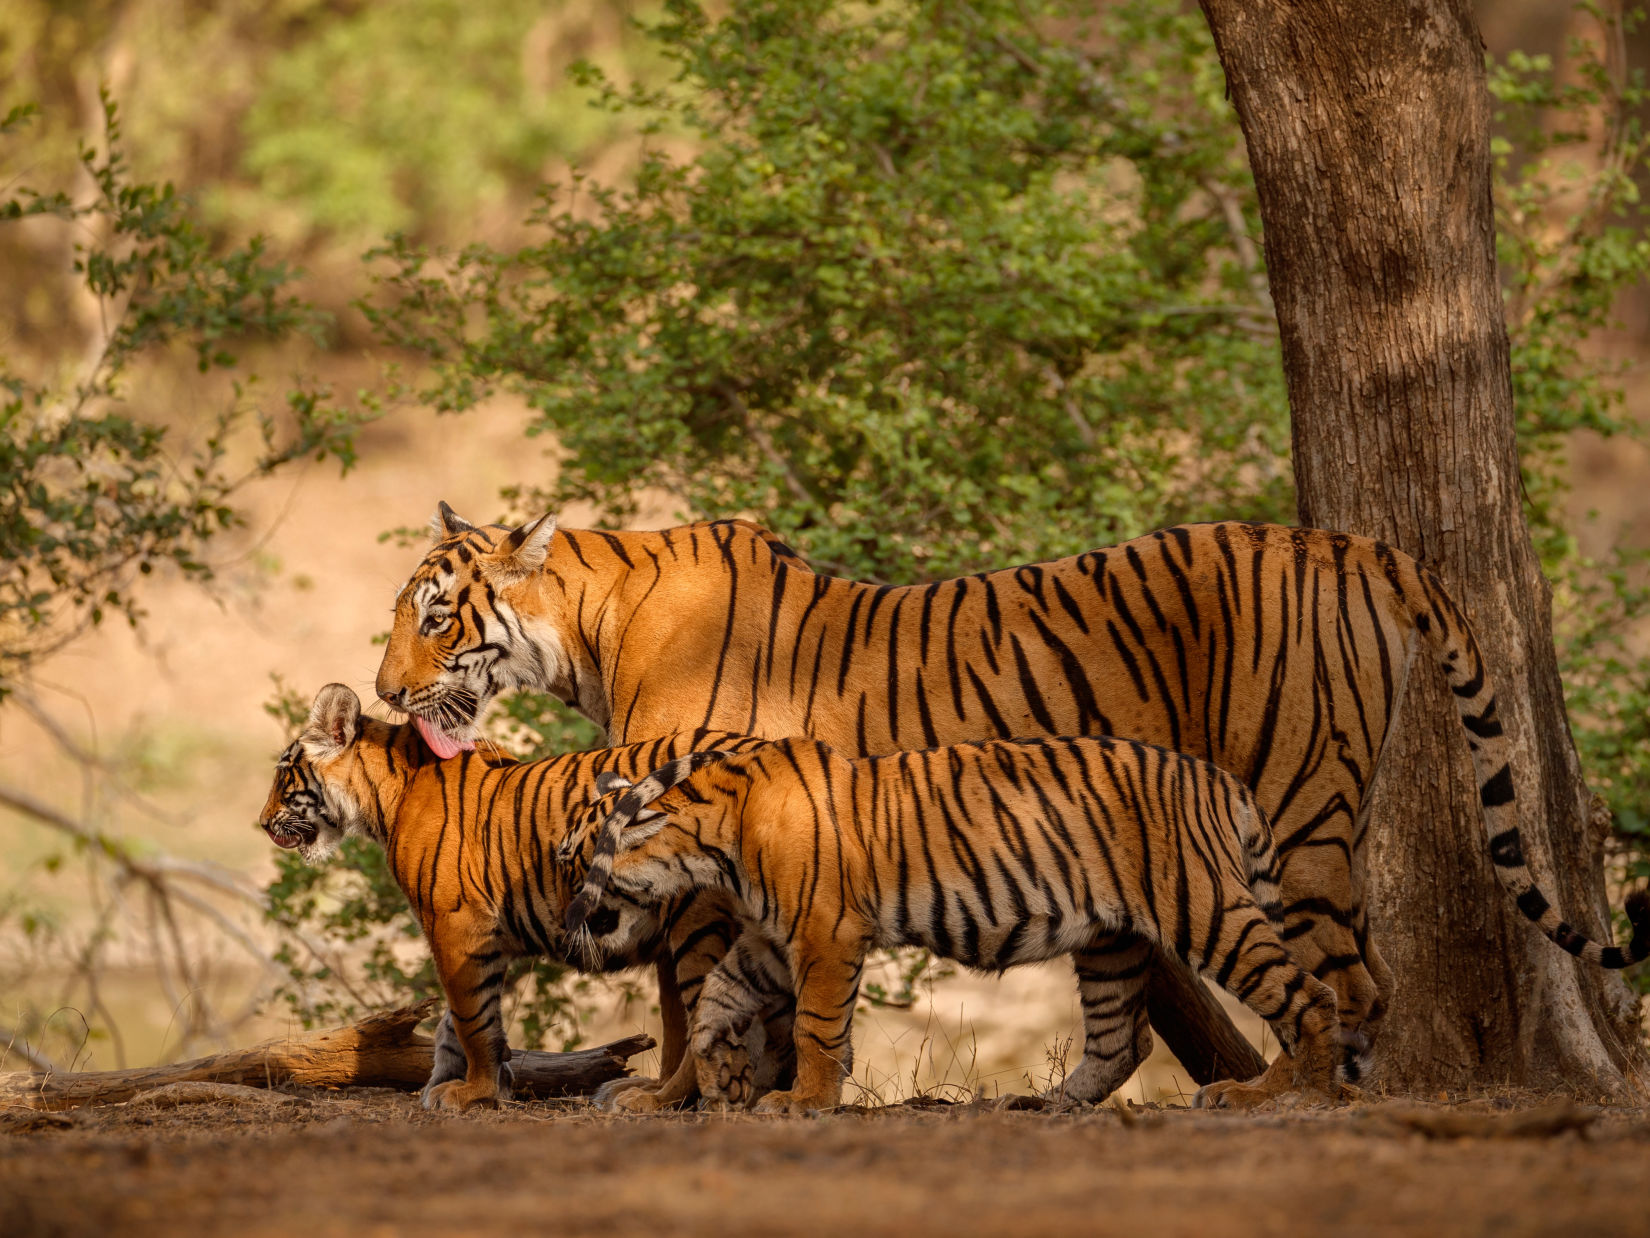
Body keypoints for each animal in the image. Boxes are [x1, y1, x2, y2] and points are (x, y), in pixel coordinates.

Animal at [371, 511, 1518, 1096]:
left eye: (435, 618)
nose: (381, 692)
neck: (590, 631)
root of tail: (1342, 539)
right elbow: (748, 989)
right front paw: (763, 1085)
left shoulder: (690, 852)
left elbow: (684, 991)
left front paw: (673, 1095)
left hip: (1293, 805)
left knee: (1347, 980)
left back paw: (1294, 1089)